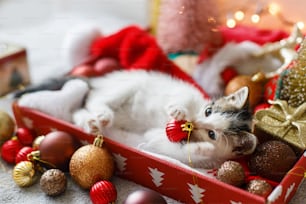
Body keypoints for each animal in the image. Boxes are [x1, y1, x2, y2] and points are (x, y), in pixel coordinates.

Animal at [73, 70, 256, 169]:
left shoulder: (164, 145)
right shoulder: (190, 93)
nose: (195, 123)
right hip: (129, 84)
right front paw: (179, 110)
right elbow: (185, 97)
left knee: (80, 111)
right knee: (96, 99)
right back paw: (103, 115)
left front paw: (203, 149)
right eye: (208, 111)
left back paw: (93, 124)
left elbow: (171, 148)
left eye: (212, 134)